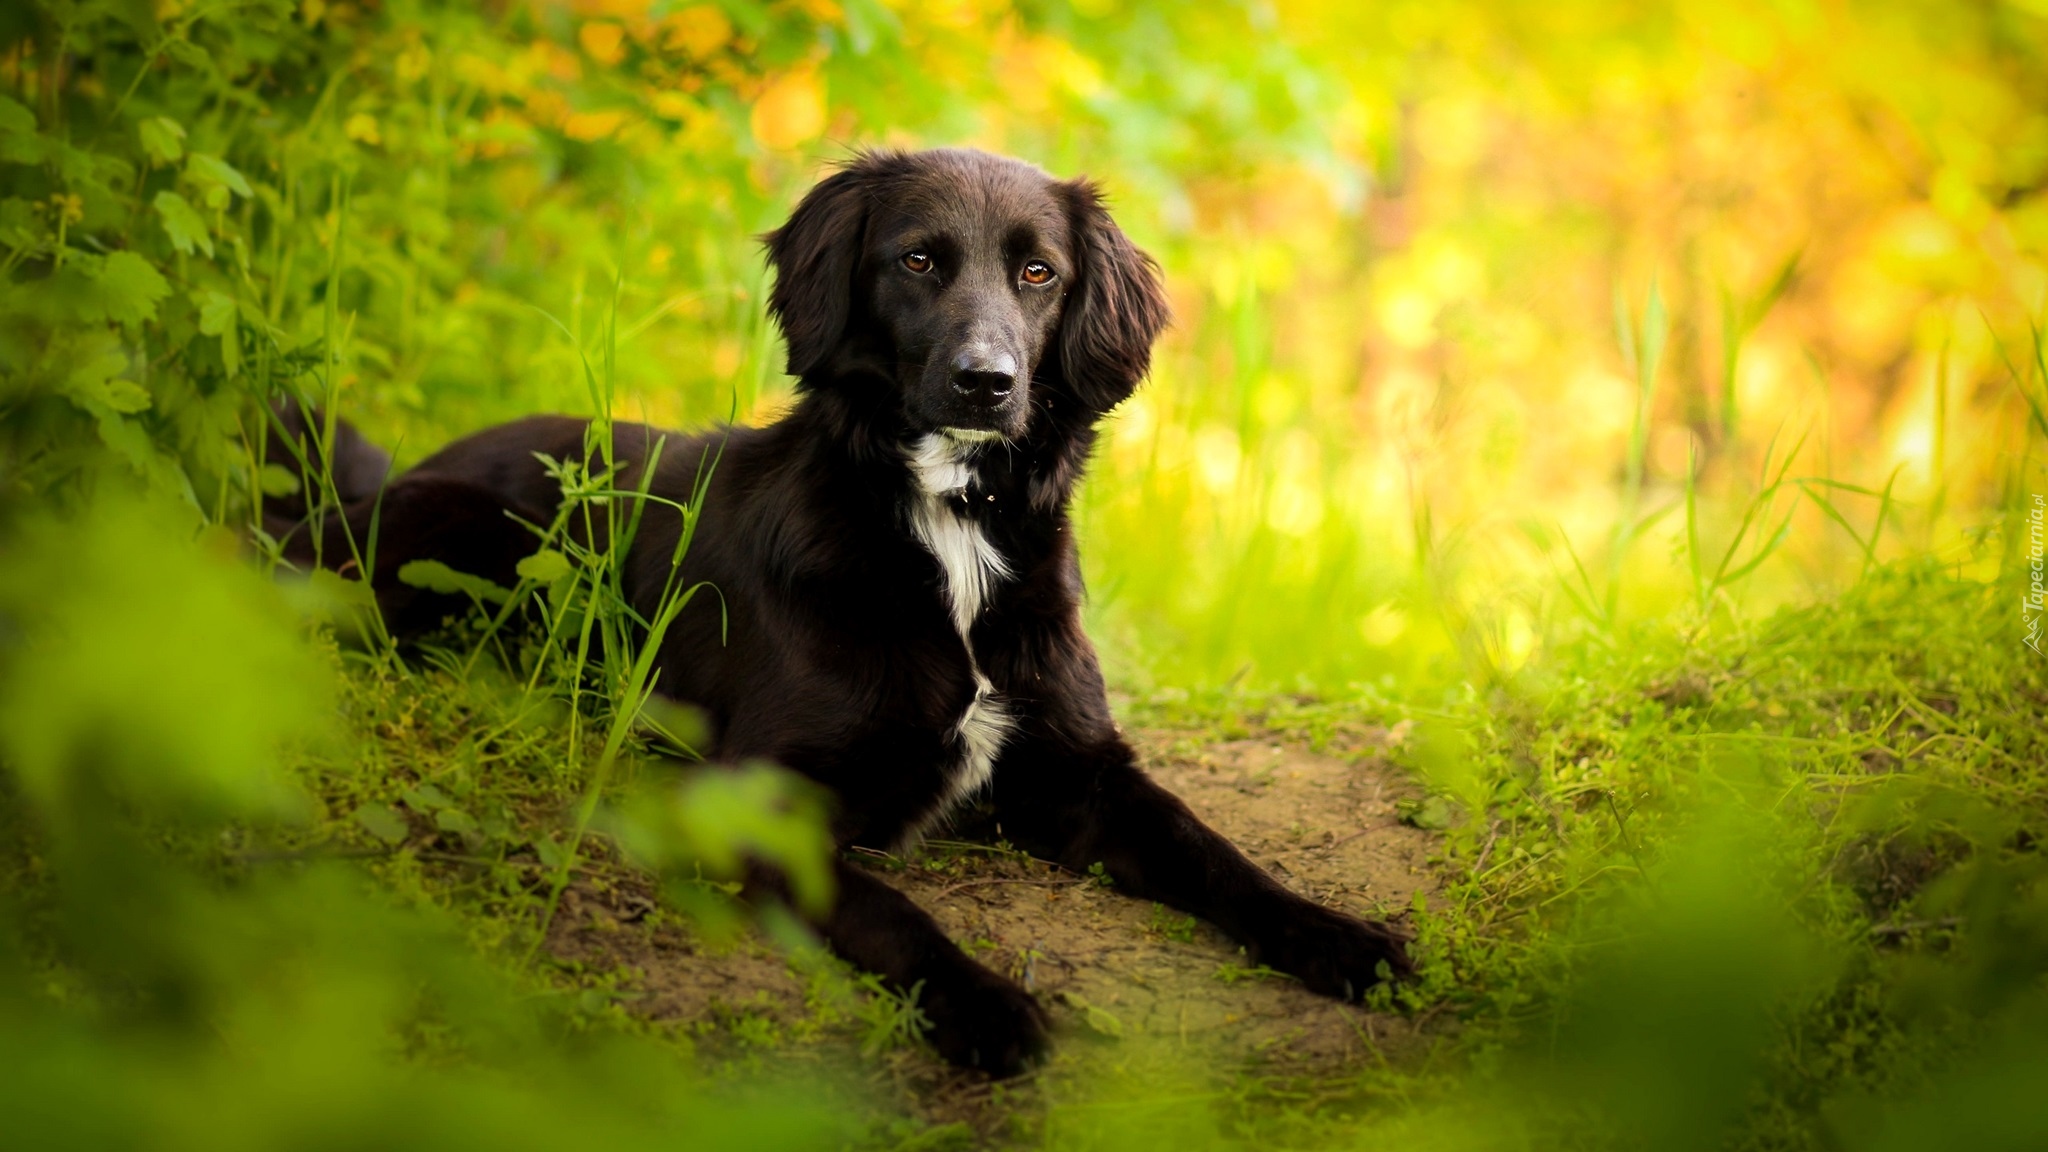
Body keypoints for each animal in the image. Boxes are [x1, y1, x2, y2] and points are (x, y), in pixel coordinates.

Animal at [276, 147, 1409, 1074]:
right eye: (918, 260)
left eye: (1039, 274)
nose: (986, 382)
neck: (944, 530)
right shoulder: (752, 797)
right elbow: (888, 909)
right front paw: (986, 1004)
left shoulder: (1080, 772)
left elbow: (1213, 851)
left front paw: (1341, 938)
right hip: (468, 531)